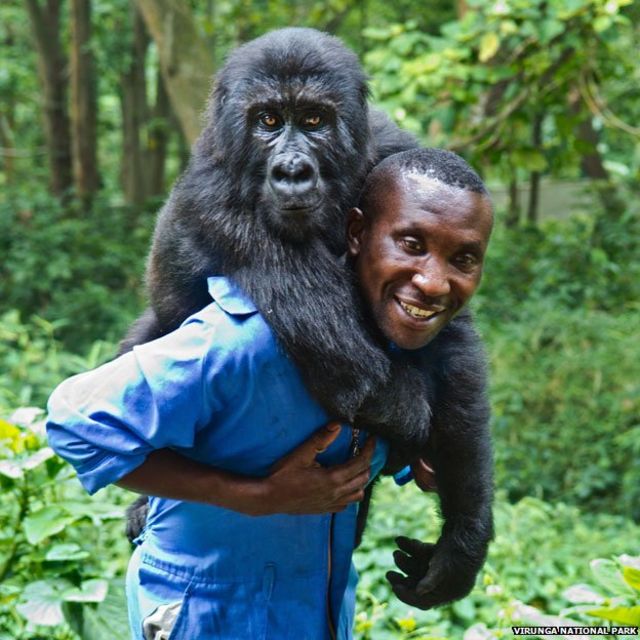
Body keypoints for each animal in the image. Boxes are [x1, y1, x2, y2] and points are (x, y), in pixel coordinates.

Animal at [124, 27, 496, 608]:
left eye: (316, 120)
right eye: (268, 120)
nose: (293, 170)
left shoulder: (392, 147)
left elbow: (452, 339)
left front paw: (463, 539)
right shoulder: (218, 201)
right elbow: (368, 376)